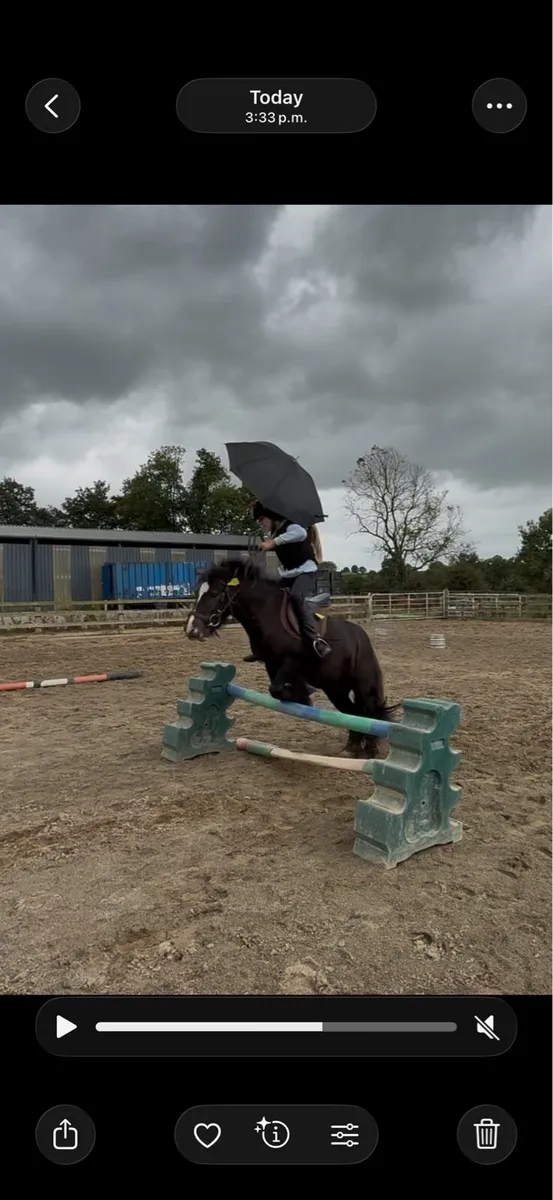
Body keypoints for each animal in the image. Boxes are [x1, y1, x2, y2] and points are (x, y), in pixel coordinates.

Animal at [185, 558, 397, 758]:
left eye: (214, 594)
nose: (192, 630)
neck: (266, 612)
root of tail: (361, 637)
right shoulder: (271, 663)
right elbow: (276, 689)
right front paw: (301, 693)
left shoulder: (293, 661)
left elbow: (277, 689)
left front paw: (304, 697)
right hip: (334, 688)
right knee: (352, 712)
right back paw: (352, 747)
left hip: (363, 685)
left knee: (369, 712)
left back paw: (369, 750)